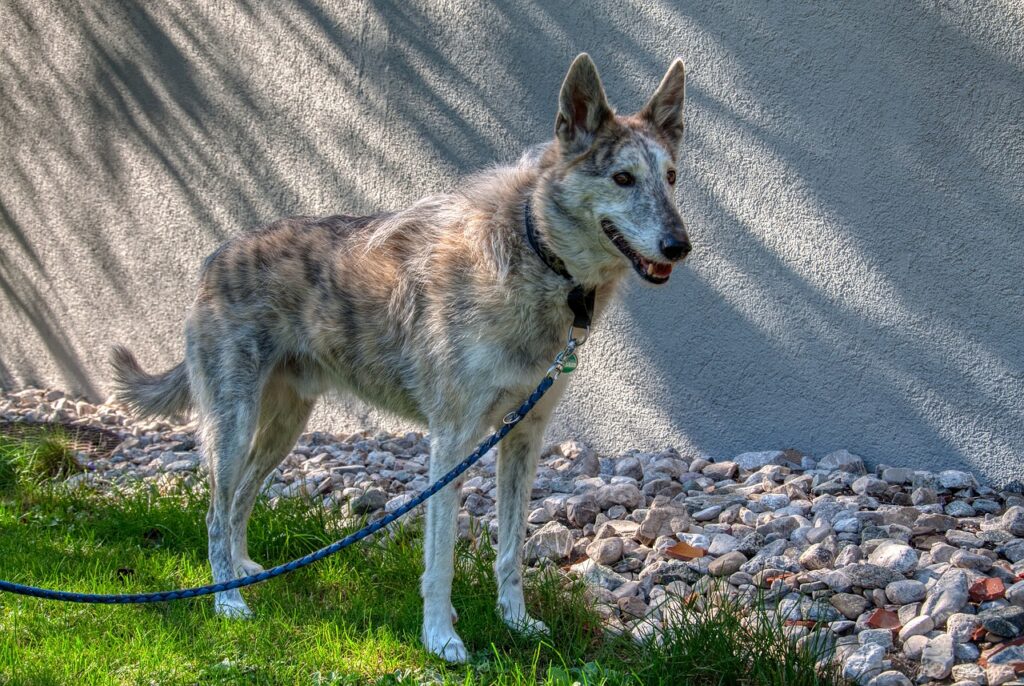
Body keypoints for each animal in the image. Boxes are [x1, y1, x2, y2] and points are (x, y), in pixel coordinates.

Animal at [110, 53, 688, 667]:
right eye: (622, 178)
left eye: (671, 177)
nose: (681, 246)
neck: (536, 255)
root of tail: (215, 258)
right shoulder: (451, 442)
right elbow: (441, 562)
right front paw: (441, 639)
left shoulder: (523, 436)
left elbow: (511, 550)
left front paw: (517, 623)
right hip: (234, 425)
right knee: (216, 514)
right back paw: (227, 600)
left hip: (285, 427)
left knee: (241, 498)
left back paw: (243, 574)